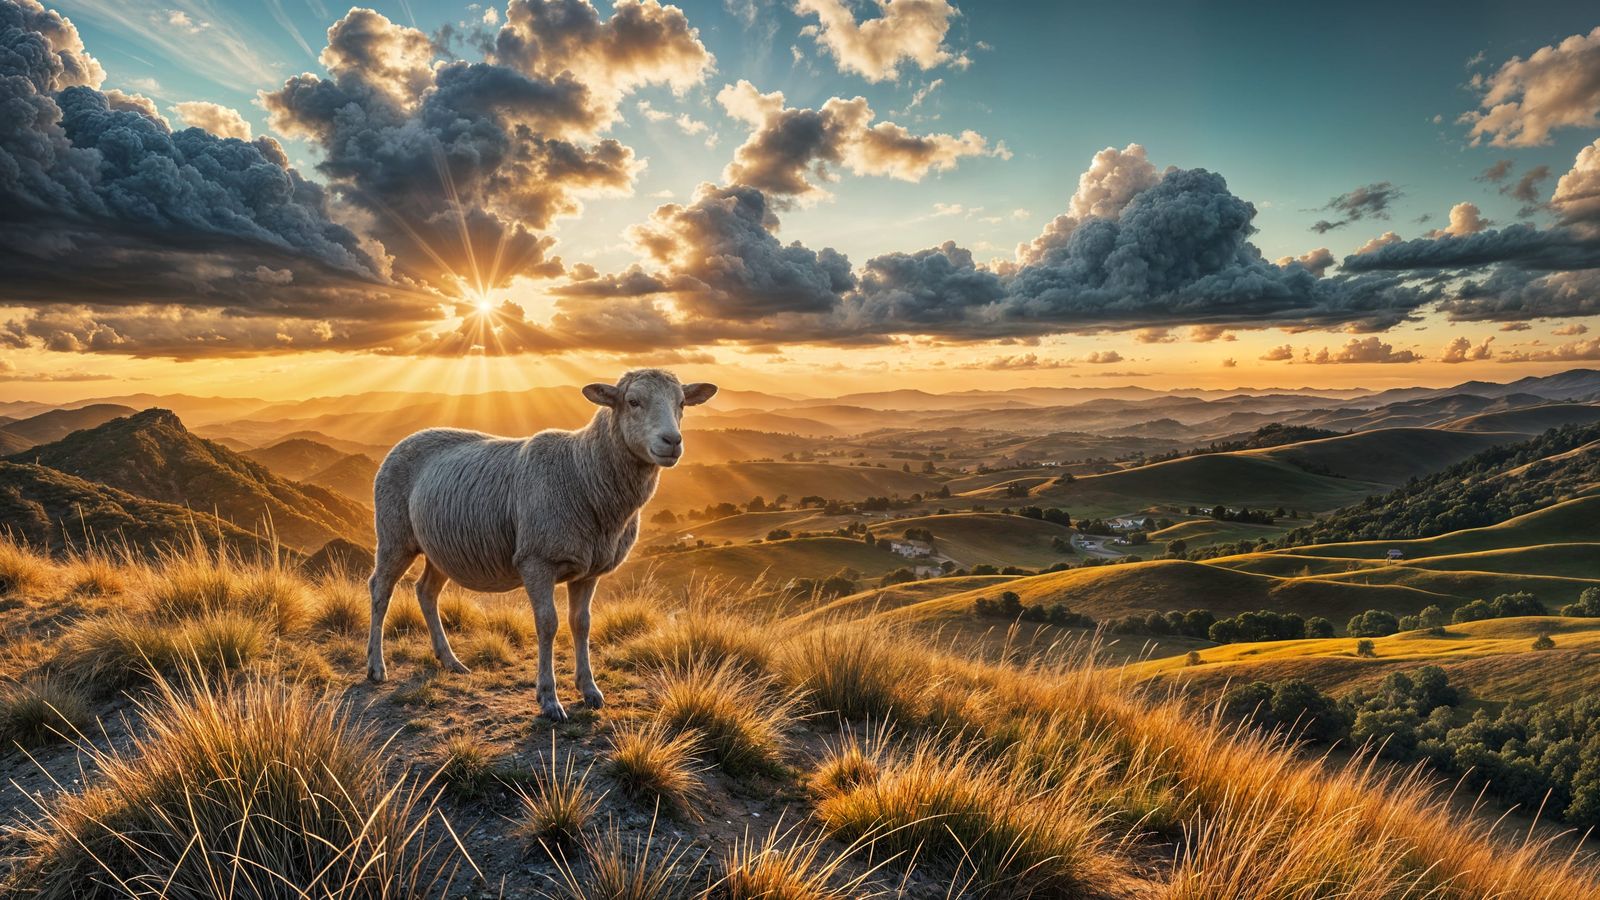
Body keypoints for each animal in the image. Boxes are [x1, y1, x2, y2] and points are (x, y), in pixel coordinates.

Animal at [366, 369, 717, 721]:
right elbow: (548, 624)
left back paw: (450, 660)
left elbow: (582, 624)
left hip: (440, 549)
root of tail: (407, 440)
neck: (583, 472)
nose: (672, 441)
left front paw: (589, 689)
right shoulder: (537, 561)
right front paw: (549, 698)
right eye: (633, 401)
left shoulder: (589, 570)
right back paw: (376, 667)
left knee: (426, 591)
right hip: (395, 533)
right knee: (380, 588)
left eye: (682, 403)